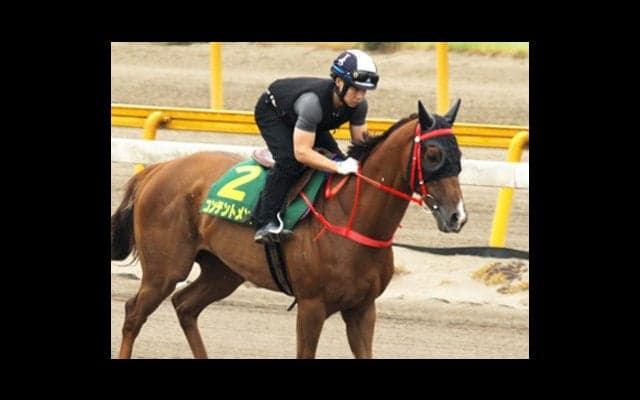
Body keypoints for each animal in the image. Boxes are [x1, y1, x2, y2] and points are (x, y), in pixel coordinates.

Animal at [111, 99, 467, 358]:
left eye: (459, 154)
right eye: (433, 154)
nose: (457, 216)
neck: (351, 218)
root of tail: (157, 169)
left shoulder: (363, 308)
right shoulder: (311, 306)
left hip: (223, 271)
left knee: (185, 306)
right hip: (165, 270)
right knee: (133, 313)